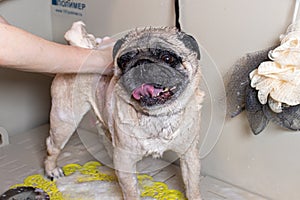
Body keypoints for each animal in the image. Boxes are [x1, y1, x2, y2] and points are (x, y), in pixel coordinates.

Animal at [44, 25, 204, 200]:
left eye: (167, 58)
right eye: (124, 61)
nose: (141, 62)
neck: (156, 116)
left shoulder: (189, 156)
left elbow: (192, 187)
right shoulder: (125, 160)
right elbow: (131, 191)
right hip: (64, 122)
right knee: (52, 146)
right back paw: (52, 170)